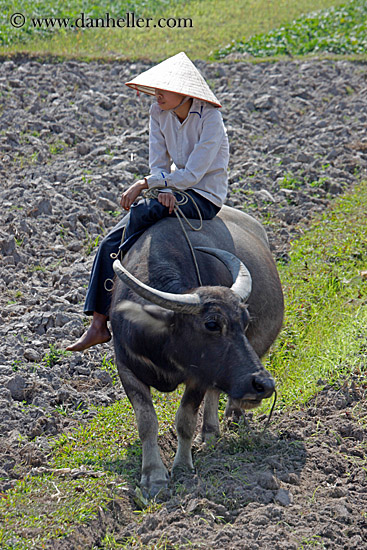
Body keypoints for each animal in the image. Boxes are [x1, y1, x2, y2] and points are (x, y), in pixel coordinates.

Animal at [109, 205, 284, 498]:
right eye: (212, 324)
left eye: (245, 321)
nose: (264, 384)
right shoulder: (126, 368)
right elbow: (146, 422)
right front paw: (153, 477)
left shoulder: (198, 377)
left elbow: (185, 419)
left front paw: (182, 466)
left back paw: (215, 429)